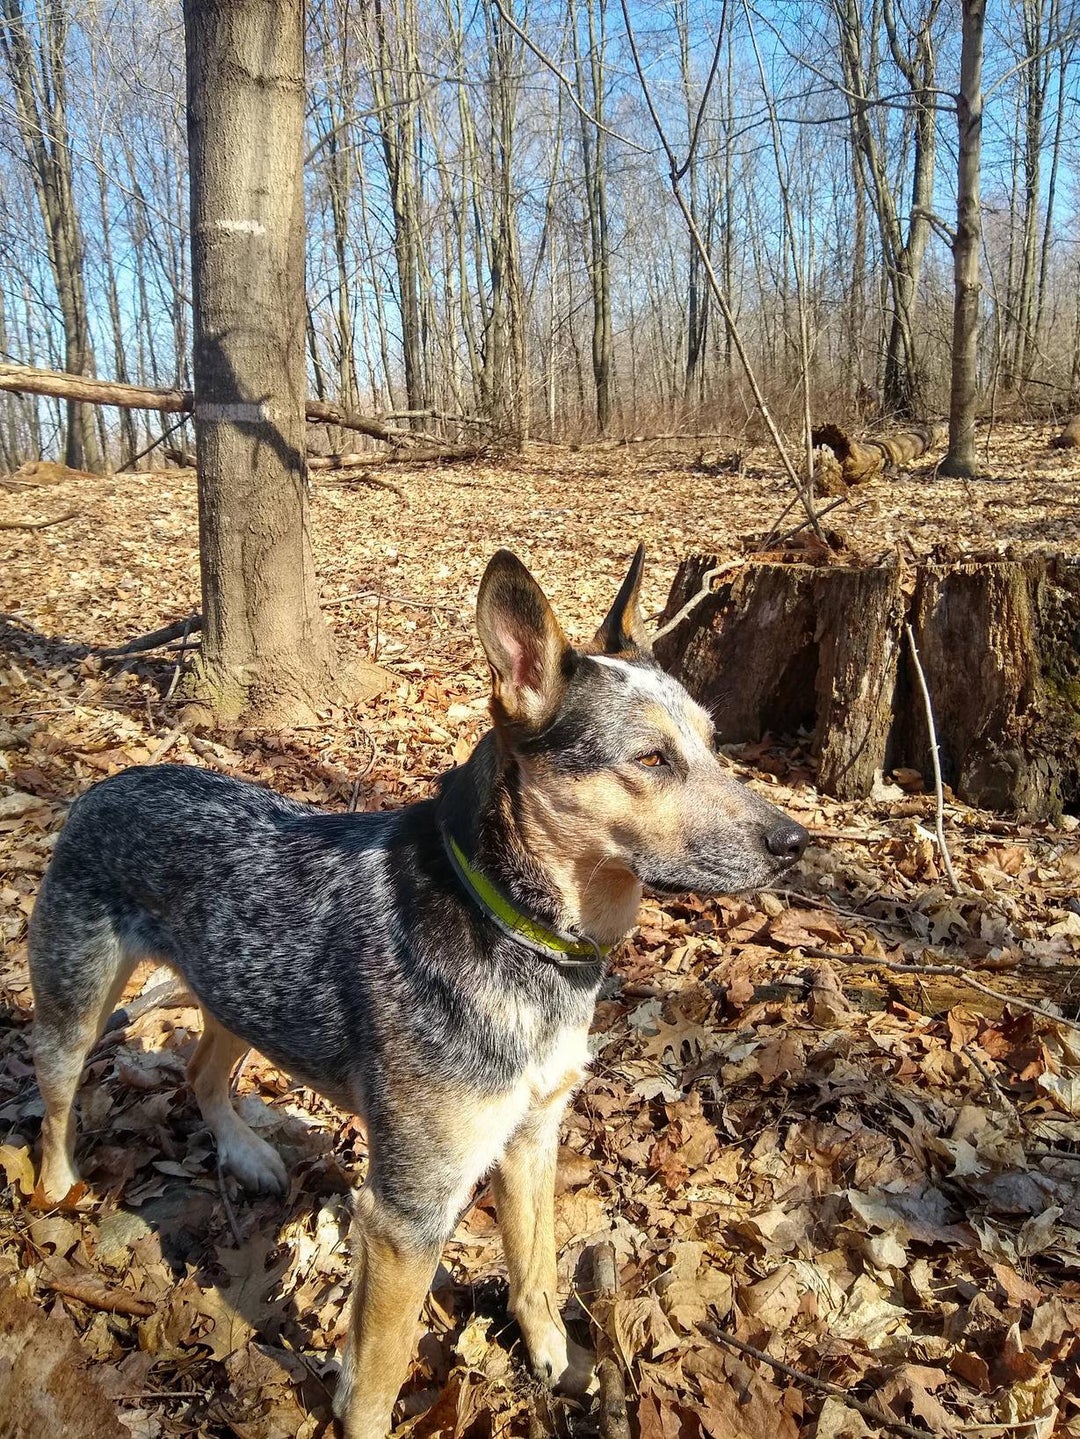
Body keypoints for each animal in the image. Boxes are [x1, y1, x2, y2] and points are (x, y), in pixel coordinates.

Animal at [31, 546, 811, 1439]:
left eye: (714, 745)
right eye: (651, 759)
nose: (797, 842)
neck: (517, 927)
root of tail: (105, 782)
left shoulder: (533, 1134)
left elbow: (535, 1268)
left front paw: (555, 1360)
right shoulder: (407, 1215)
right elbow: (378, 1374)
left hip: (235, 987)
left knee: (201, 1072)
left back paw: (246, 1150)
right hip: (76, 1001)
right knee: (56, 1098)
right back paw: (55, 1187)